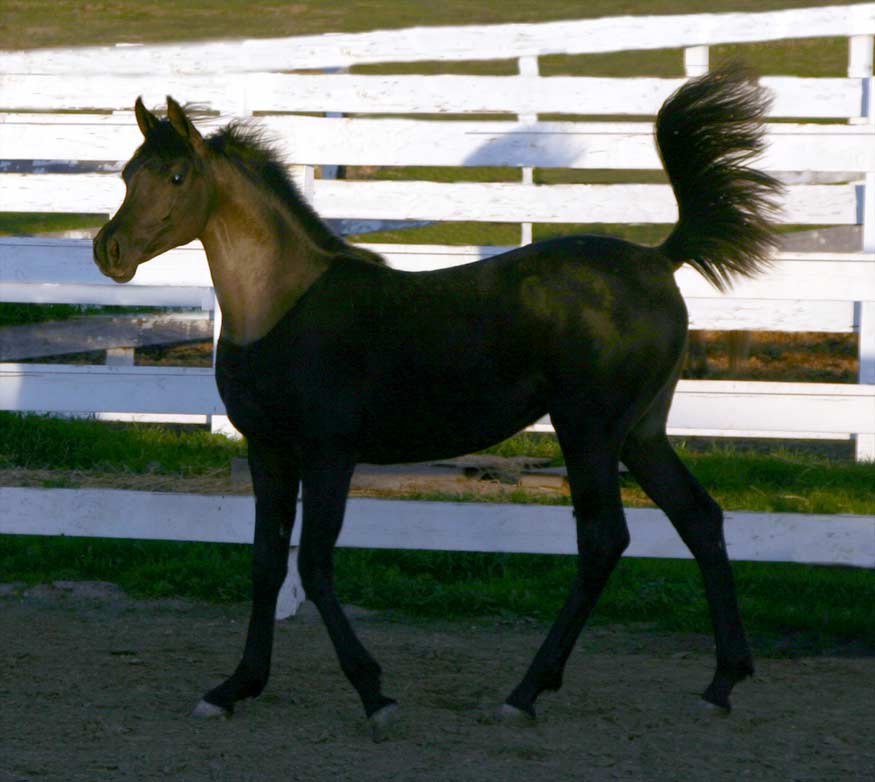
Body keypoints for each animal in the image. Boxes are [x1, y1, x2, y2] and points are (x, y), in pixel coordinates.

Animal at [94, 62, 780, 740]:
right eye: (128, 173)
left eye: (177, 176)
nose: (110, 250)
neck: (279, 308)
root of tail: (661, 259)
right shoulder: (269, 450)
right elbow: (266, 564)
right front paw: (234, 687)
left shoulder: (328, 453)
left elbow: (313, 564)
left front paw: (374, 693)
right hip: (640, 433)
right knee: (699, 518)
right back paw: (722, 682)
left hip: (588, 429)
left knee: (604, 538)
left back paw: (526, 692)